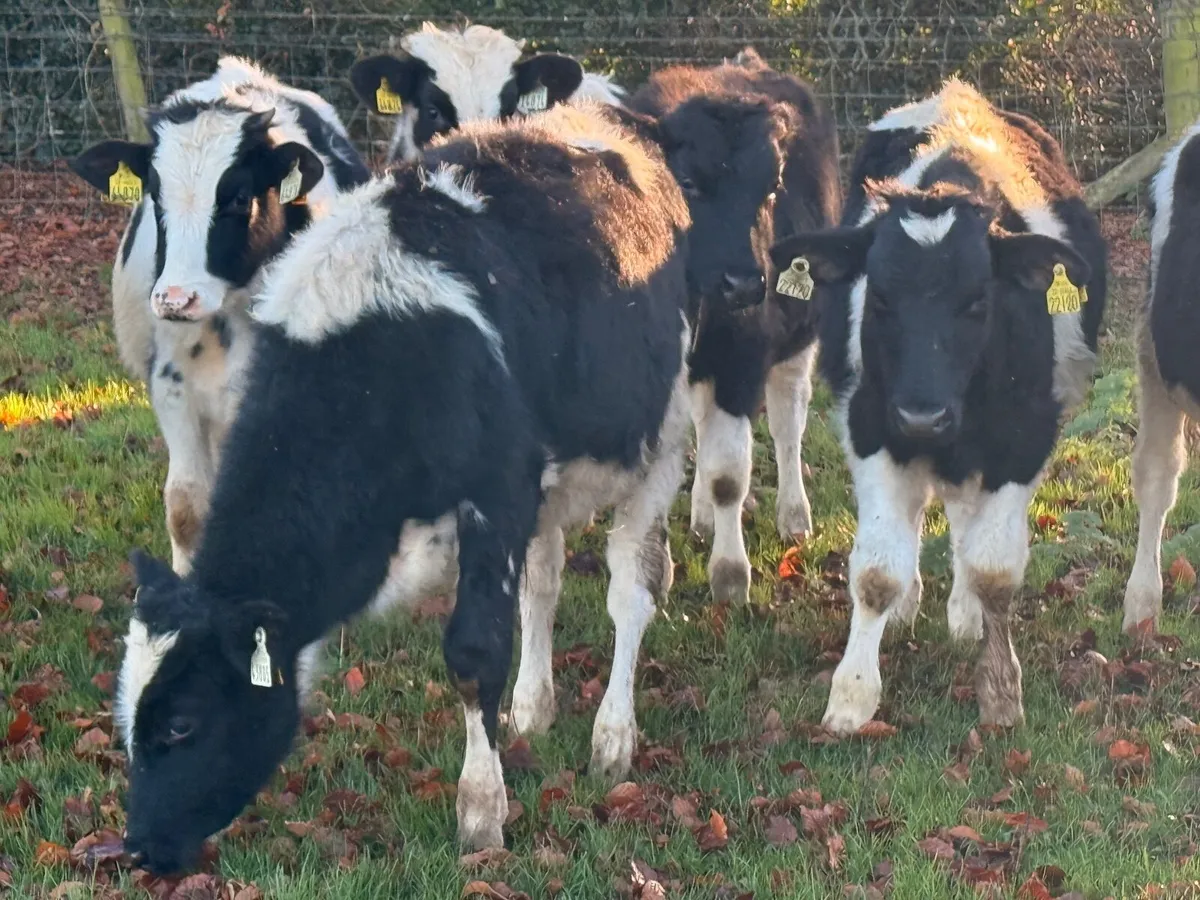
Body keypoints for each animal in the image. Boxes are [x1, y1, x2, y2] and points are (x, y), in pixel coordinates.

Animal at [115, 102, 693, 873]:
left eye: (182, 723)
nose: (135, 847)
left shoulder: (497, 494)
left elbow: (475, 653)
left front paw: (481, 813)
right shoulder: (518, 493)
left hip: (662, 437)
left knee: (631, 589)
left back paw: (612, 737)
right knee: (544, 581)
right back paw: (534, 706)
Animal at [768, 80, 1107, 735]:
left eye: (978, 300)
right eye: (878, 298)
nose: (923, 417)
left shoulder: (1024, 441)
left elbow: (993, 569)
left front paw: (1000, 690)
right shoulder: (872, 427)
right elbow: (877, 571)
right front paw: (851, 696)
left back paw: (963, 612)